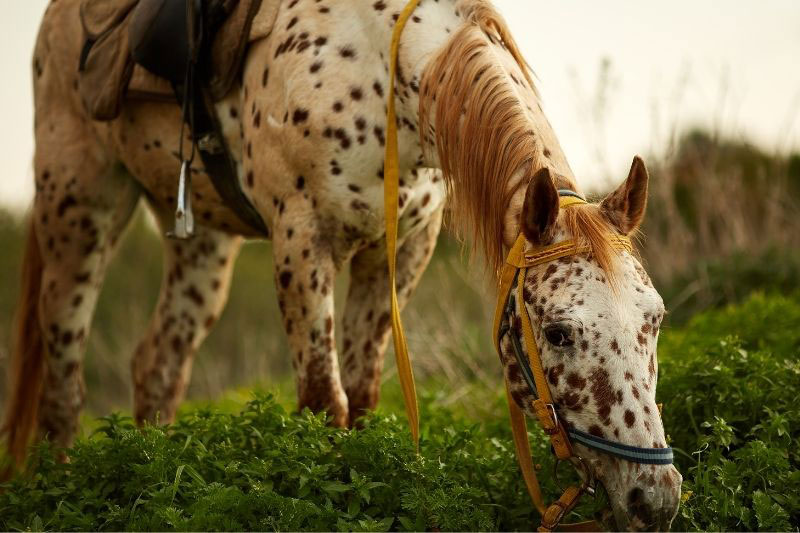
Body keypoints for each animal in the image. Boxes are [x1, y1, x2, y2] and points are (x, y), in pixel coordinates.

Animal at [3, 0, 681, 528]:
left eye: (655, 321)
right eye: (560, 332)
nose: (656, 499)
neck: (384, 65)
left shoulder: (399, 251)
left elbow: (361, 396)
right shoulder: (302, 240)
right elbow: (323, 401)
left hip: (201, 242)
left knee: (158, 366)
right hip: (79, 209)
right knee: (63, 382)